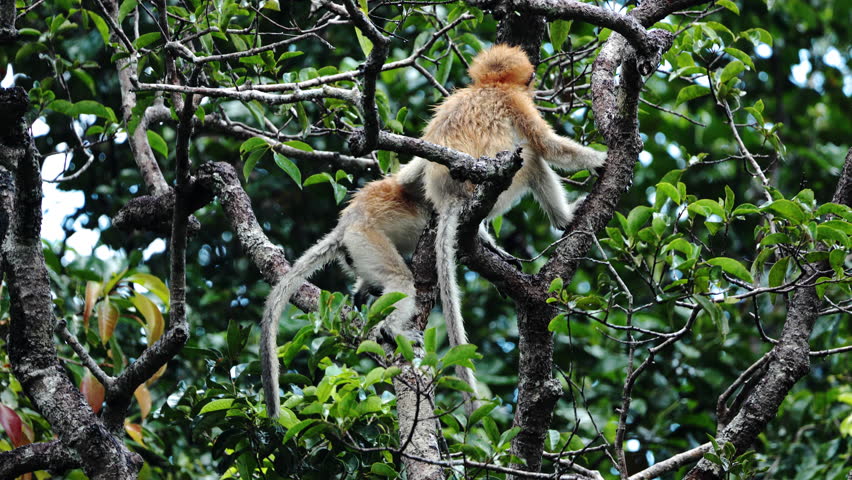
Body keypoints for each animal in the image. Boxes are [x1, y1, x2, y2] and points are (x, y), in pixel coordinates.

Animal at [261, 44, 607, 418]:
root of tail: (346, 226)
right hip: (373, 236)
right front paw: (602, 160)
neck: (488, 86)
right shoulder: (514, 101)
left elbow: (415, 166)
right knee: (530, 160)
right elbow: (546, 145)